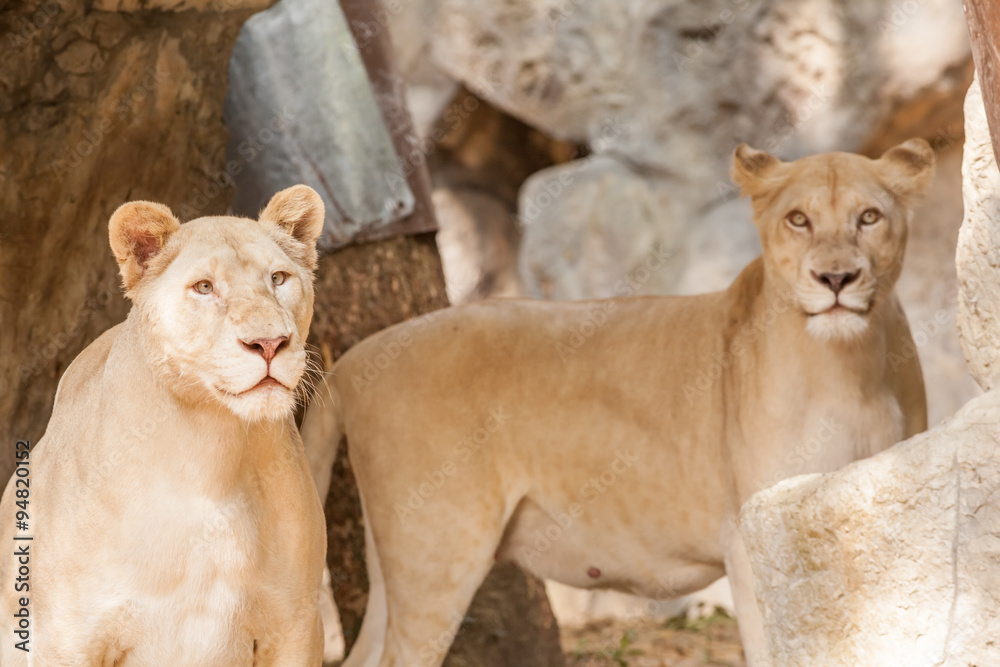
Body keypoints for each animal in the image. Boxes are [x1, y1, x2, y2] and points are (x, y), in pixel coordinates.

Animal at [0, 186, 328, 666]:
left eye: (279, 279)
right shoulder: (65, 635)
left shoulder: (296, 624)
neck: (212, 457)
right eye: (204, 287)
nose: (270, 343)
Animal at [302, 139, 935, 666]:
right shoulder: (747, 538)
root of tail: (357, 358)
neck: (851, 368)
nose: (837, 278)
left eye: (869, 217)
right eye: (798, 220)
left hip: (398, 562)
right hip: (436, 551)